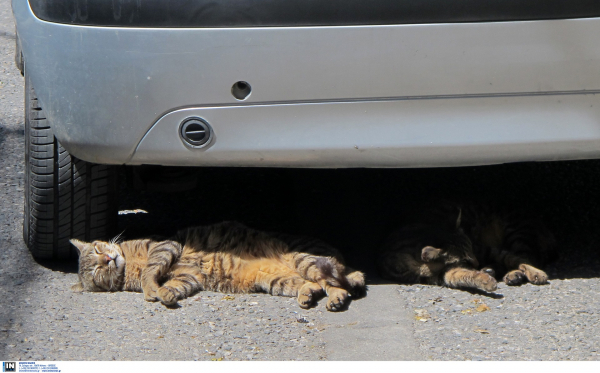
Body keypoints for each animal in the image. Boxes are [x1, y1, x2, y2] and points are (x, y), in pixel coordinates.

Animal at [69, 221, 364, 310]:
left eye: (98, 250)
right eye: (97, 271)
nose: (109, 260)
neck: (130, 263)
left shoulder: (165, 245)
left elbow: (152, 271)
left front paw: (151, 288)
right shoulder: (189, 277)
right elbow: (174, 286)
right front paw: (164, 293)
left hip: (307, 260)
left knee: (337, 284)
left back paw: (336, 297)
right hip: (277, 281)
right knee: (318, 285)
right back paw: (309, 294)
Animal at [380, 201, 556, 290]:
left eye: (472, 251)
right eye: (465, 260)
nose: (478, 263)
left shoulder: (485, 249)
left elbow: (515, 259)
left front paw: (536, 272)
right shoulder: (446, 274)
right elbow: (465, 276)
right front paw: (484, 279)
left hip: (517, 232)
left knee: (528, 255)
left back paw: (514, 273)